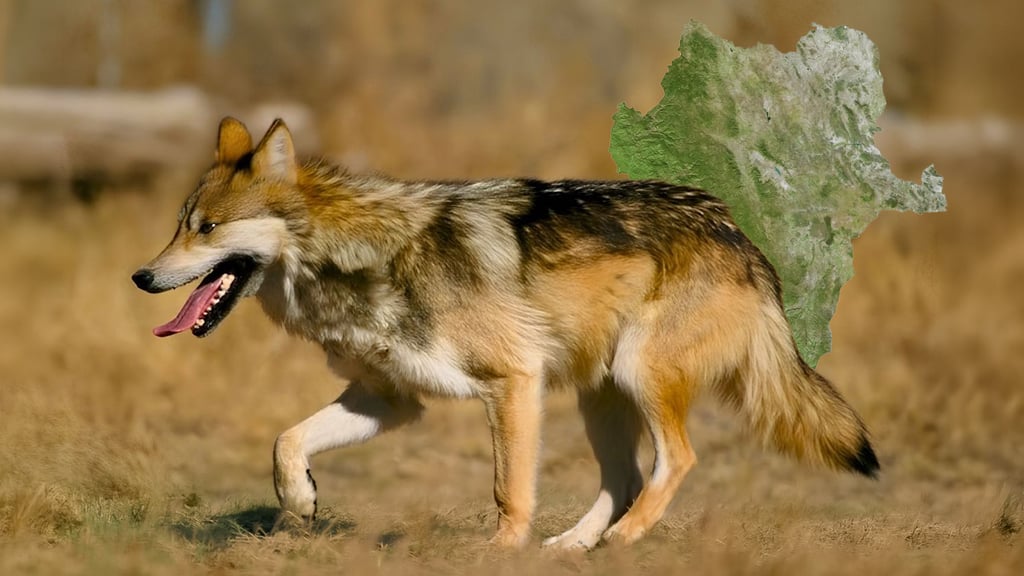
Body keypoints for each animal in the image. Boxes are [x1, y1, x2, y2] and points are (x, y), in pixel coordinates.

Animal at [132, 117, 878, 549]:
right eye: (178, 226)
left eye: (206, 229)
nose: (141, 276)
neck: (362, 258)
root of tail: (737, 232)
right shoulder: (391, 400)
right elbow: (286, 441)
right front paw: (301, 501)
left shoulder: (512, 382)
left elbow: (508, 491)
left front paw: (499, 555)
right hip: (600, 397)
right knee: (627, 478)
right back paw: (575, 550)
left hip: (637, 375)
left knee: (677, 462)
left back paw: (626, 541)